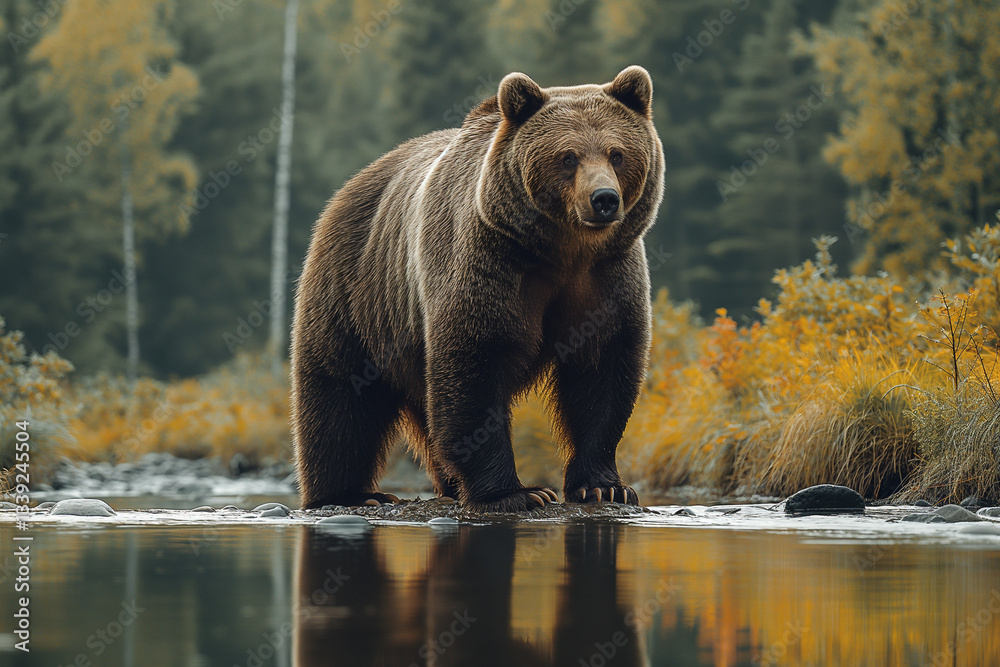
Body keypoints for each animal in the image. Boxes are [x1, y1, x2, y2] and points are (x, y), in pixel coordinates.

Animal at [291, 65, 665, 511]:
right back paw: (351, 493)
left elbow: (602, 367)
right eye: (568, 156)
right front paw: (517, 492)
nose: (604, 199)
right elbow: (476, 362)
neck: (562, 250)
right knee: (340, 396)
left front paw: (605, 486)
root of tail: (348, 187)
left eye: (617, 153)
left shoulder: (606, 275)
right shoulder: (491, 260)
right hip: (356, 291)